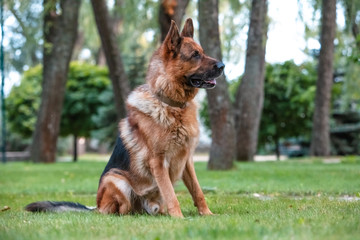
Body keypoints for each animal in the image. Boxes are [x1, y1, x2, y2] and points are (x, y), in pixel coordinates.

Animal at [26, 18, 225, 218]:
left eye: (203, 52)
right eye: (195, 55)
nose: (222, 66)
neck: (171, 105)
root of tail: (95, 206)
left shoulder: (187, 160)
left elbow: (197, 191)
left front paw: (207, 214)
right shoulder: (158, 162)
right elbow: (171, 194)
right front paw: (179, 218)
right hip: (116, 179)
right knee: (118, 210)